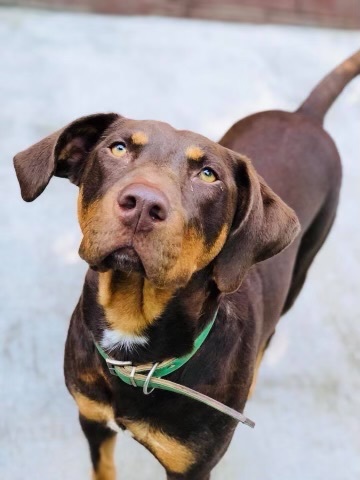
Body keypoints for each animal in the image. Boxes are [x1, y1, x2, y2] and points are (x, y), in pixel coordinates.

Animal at [12, 49, 358, 480]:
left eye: (208, 175)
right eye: (118, 149)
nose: (143, 204)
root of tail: (304, 115)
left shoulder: (192, 465)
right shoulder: (92, 419)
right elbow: (103, 466)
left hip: (304, 265)